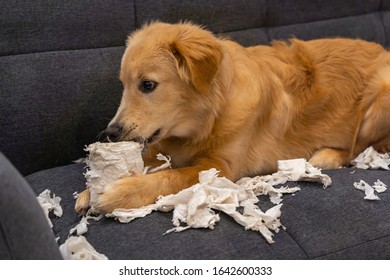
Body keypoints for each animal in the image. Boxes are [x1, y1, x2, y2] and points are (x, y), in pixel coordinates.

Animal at [74, 22, 390, 214]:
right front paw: (91, 189)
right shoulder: (163, 143)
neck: (210, 116)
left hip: (379, 99)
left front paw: (117, 194)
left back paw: (328, 155)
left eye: (148, 85)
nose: (111, 132)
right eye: (124, 85)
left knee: (359, 147)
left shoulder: (220, 167)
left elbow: (171, 177)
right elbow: (151, 159)